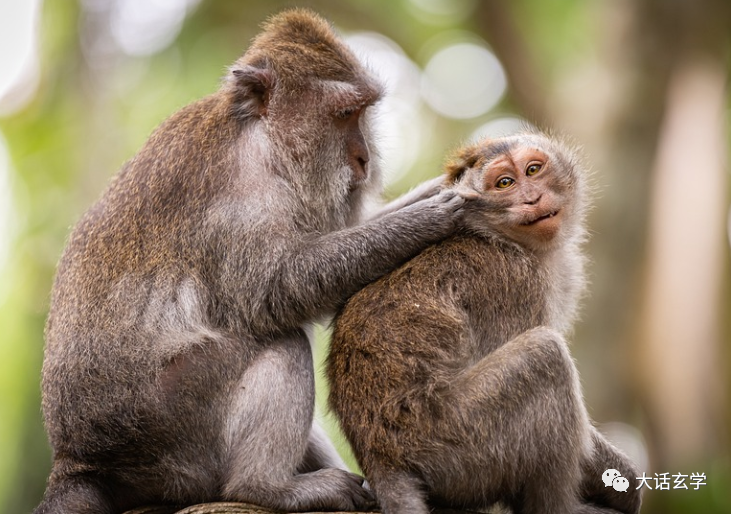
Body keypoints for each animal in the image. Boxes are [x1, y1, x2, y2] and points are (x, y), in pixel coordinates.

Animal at [34, 9, 468, 512]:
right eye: (345, 114)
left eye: (362, 112)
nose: (363, 160)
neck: (260, 136)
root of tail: (78, 460)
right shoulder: (242, 197)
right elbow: (279, 289)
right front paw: (427, 218)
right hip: (173, 426)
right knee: (282, 343)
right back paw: (265, 487)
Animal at [328, 132, 644, 512]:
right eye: (505, 183)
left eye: (533, 170)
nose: (532, 198)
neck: (501, 238)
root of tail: (380, 458)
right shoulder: (515, 284)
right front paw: (623, 480)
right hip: (457, 444)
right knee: (545, 355)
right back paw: (555, 506)